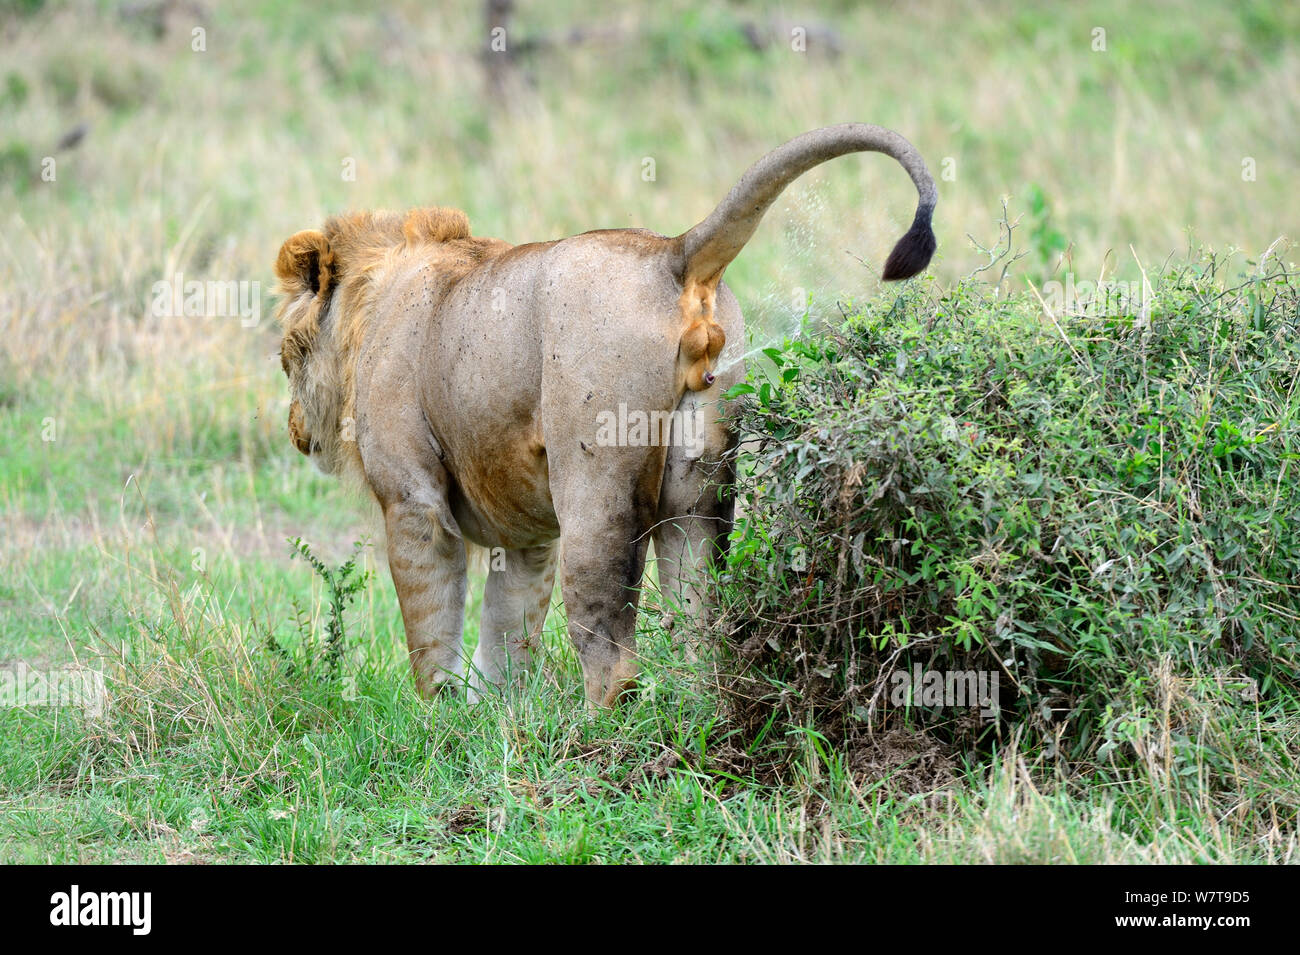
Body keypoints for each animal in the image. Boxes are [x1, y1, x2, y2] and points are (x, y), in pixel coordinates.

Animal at [274, 123, 936, 708]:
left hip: (596, 488)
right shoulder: (529, 537)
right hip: (701, 492)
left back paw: (585, 746)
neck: (372, 302)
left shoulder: (414, 502)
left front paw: (441, 723)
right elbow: (507, 631)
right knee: (704, 633)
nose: (294, 430)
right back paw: (697, 715)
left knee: (613, 658)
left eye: (285, 360)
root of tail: (672, 253)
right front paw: (496, 720)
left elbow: (432, 634)